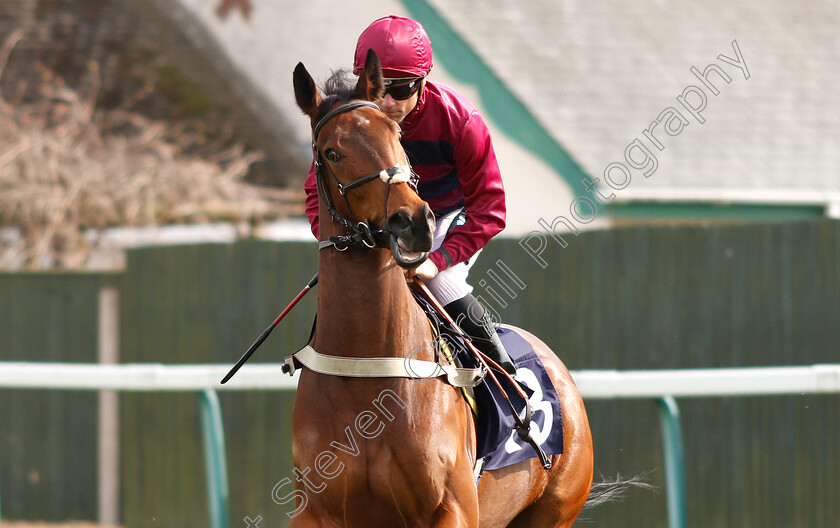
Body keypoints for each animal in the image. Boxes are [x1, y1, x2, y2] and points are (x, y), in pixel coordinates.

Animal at [288, 50, 604, 528]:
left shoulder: (451, 507)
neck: (367, 368)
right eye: (332, 153)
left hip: (556, 507)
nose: (413, 222)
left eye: (396, 136)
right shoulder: (315, 510)